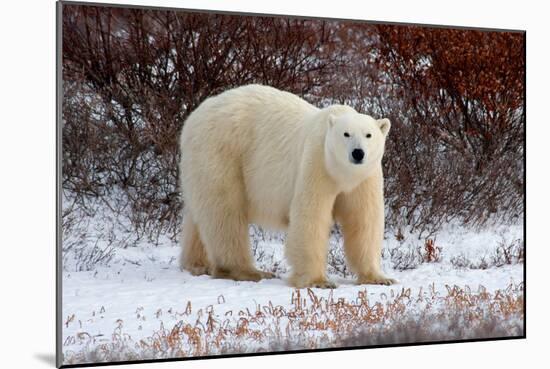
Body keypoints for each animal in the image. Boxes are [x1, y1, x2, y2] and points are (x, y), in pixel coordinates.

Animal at [180, 84, 396, 288]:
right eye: (346, 134)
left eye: (368, 135)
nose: (358, 153)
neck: (341, 173)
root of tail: (192, 118)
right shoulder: (316, 164)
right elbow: (310, 217)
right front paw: (319, 281)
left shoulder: (365, 178)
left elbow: (364, 220)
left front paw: (379, 278)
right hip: (222, 151)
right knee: (225, 213)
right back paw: (249, 272)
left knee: (200, 215)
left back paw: (197, 264)